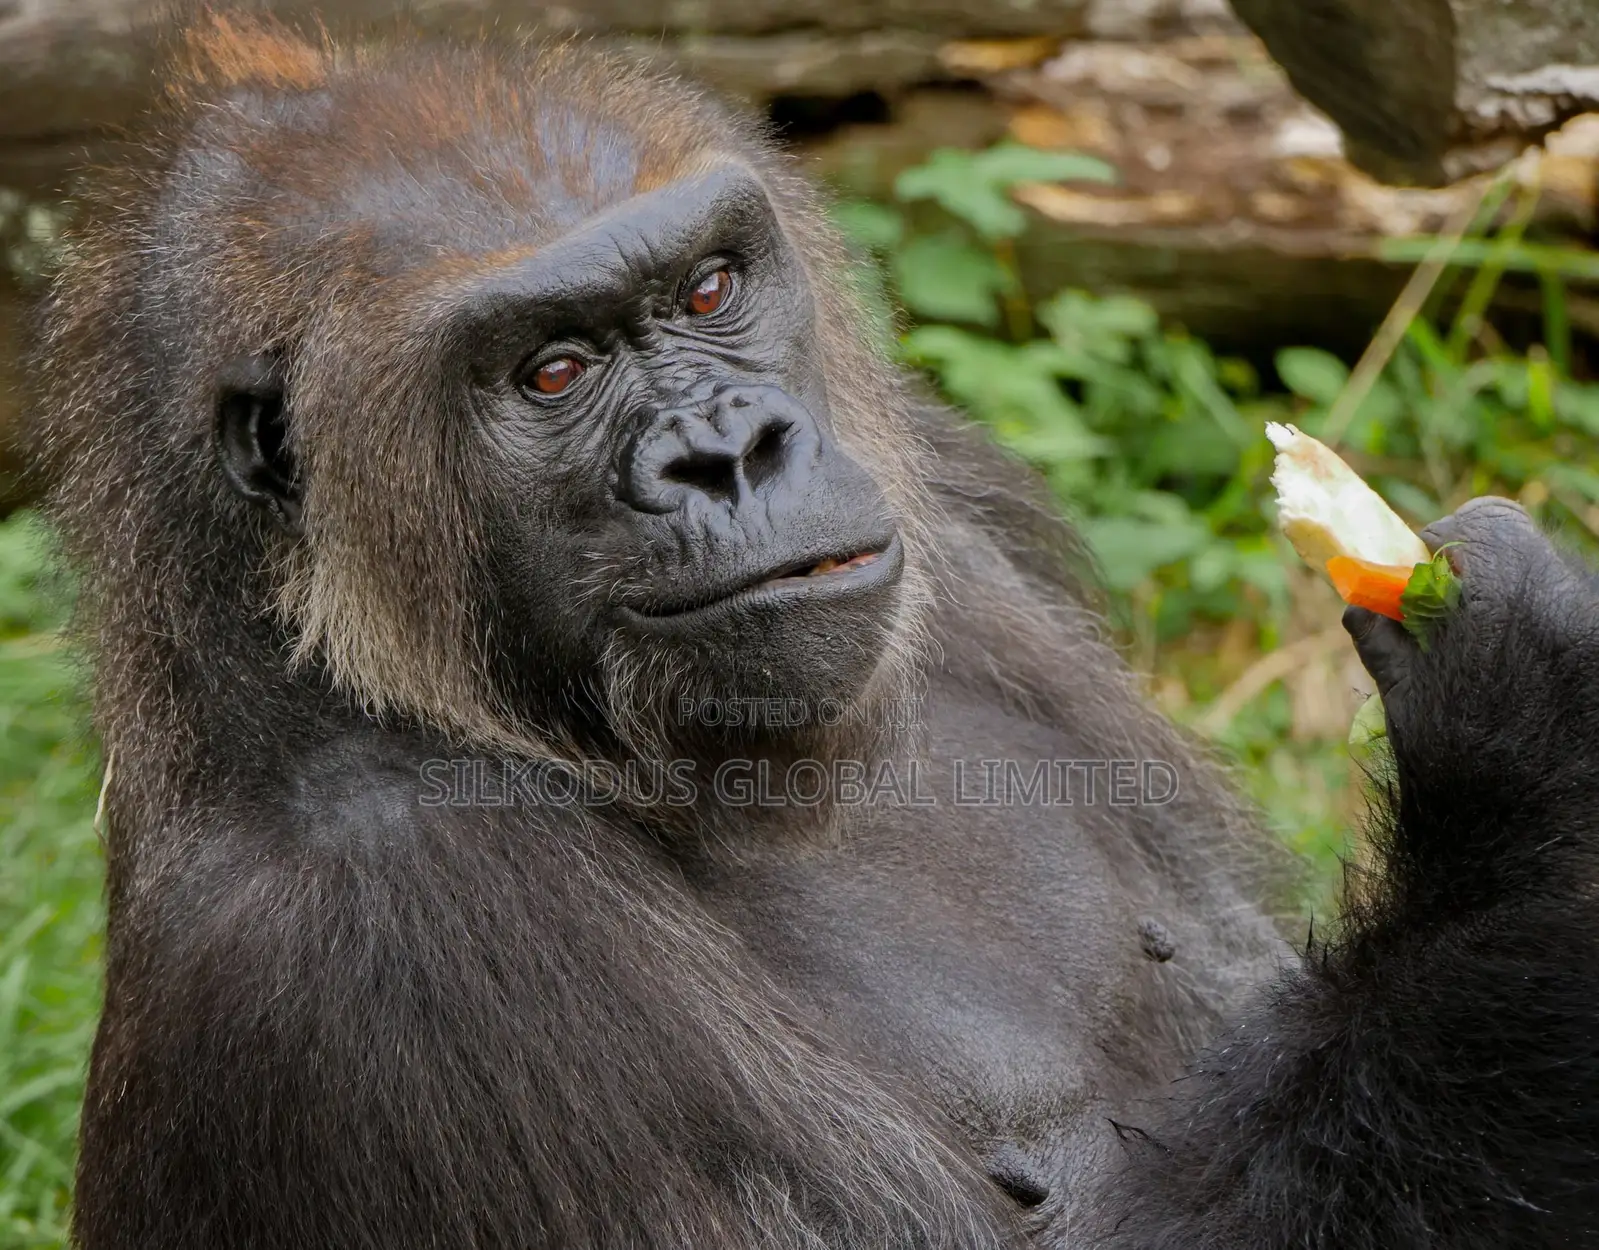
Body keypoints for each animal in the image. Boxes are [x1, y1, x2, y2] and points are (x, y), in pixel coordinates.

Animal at [31, 16, 1599, 1248]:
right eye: (553, 371)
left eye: (710, 289)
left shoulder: (958, 496)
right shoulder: (392, 921)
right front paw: (1534, 768)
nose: (730, 452)